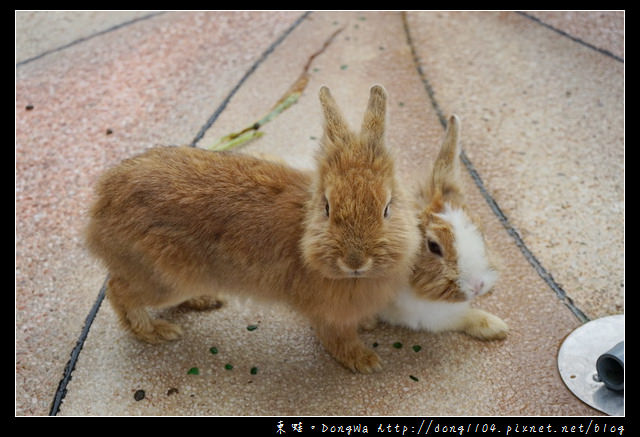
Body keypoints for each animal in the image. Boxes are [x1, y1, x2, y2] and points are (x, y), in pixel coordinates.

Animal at [85, 84, 420, 372]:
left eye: (387, 208)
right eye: (327, 207)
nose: (355, 261)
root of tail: (100, 206)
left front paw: (368, 326)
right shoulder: (329, 315)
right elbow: (338, 339)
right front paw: (365, 361)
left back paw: (204, 300)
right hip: (164, 279)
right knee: (118, 291)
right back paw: (156, 331)